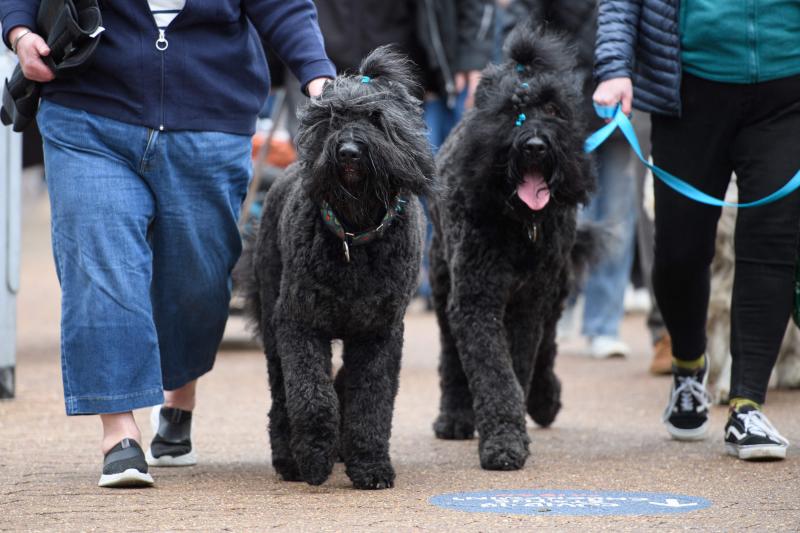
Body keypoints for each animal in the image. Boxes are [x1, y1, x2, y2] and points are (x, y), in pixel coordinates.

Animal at [239, 46, 432, 490]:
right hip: (273, 327)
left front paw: (370, 465)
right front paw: (313, 456)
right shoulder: (299, 325)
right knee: (282, 397)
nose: (348, 151)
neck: (355, 237)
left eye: (376, 118)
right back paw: (289, 458)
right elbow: (312, 397)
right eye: (331, 118)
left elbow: (371, 402)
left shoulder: (379, 334)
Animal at [432, 28, 592, 470]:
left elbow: (520, 363)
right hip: (443, 284)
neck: (521, 225)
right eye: (510, 111)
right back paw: (454, 417)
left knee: (549, 346)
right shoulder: (475, 299)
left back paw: (544, 400)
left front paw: (512, 430)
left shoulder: (529, 303)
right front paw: (503, 441)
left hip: (554, 291)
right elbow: (494, 371)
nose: (535, 145)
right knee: (451, 356)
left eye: (553, 109)